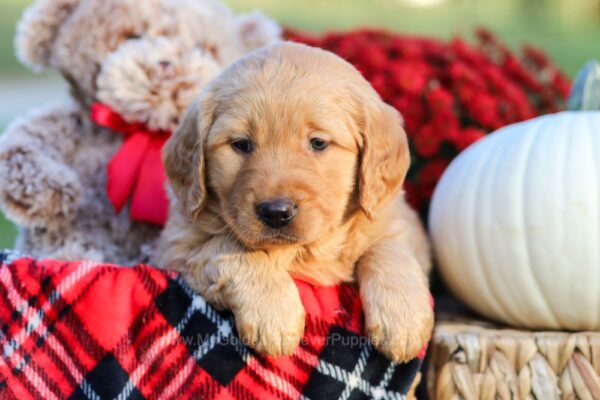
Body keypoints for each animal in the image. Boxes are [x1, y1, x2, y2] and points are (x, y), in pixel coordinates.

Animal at [156, 42, 432, 360]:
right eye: (240, 144)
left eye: (318, 143)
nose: (276, 212)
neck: (303, 251)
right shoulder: (178, 245)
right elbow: (229, 247)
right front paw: (273, 316)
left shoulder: (396, 219)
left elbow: (389, 247)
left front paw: (403, 320)